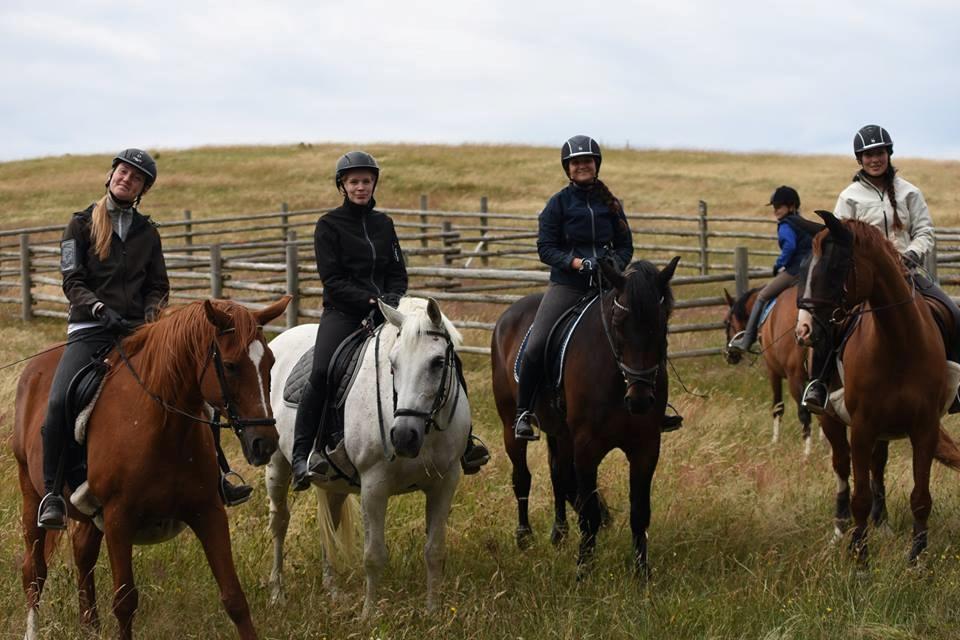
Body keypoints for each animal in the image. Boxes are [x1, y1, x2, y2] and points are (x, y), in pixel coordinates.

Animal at [12, 298, 288, 636]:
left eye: (270, 363)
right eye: (231, 365)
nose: (264, 442)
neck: (163, 426)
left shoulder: (208, 510)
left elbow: (234, 597)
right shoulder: (118, 518)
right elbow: (125, 602)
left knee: (83, 555)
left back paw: (91, 628)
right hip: (31, 492)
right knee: (34, 571)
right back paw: (33, 630)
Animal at [264, 298, 470, 616]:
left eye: (437, 362)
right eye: (393, 364)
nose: (403, 436)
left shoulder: (445, 482)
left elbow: (434, 551)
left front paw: (433, 611)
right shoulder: (374, 487)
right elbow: (373, 556)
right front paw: (369, 614)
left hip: (333, 483)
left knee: (330, 526)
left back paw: (332, 590)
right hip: (276, 465)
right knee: (279, 523)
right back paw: (277, 593)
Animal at [492, 258, 680, 576]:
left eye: (661, 322)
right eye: (618, 322)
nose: (640, 400)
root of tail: (508, 313)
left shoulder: (646, 448)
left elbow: (639, 512)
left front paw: (641, 573)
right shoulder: (586, 447)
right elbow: (589, 510)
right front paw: (584, 570)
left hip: (559, 432)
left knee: (557, 474)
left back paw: (559, 533)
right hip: (511, 424)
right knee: (522, 477)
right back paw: (524, 537)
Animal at [724, 284, 812, 456]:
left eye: (726, 322)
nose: (729, 355)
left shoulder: (773, 372)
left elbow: (778, 407)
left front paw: (775, 441)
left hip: (795, 377)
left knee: (804, 412)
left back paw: (807, 453)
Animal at [796, 211, 960, 564]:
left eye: (834, 267)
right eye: (804, 268)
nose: (804, 330)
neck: (898, 343)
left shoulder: (924, 428)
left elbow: (920, 496)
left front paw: (916, 559)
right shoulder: (861, 428)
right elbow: (859, 495)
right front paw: (860, 558)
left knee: (878, 466)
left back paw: (881, 523)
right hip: (831, 421)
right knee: (842, 467)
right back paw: (841, 529)